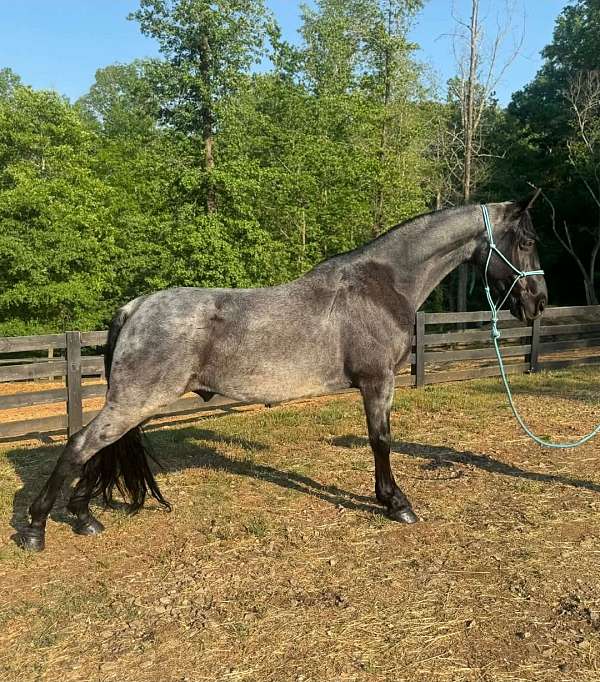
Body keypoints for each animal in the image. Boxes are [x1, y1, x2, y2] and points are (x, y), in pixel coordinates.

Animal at [16, 198, 547, 552]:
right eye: (526, 241)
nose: (538, 301)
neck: (382, 285)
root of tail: (135, 306)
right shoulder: (378, 382)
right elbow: (381, 440)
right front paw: (396, 503)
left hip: (135, 404)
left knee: (95, 450)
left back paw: (84, 517)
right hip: (134, 401)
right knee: (80, 446)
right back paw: (38, 529)